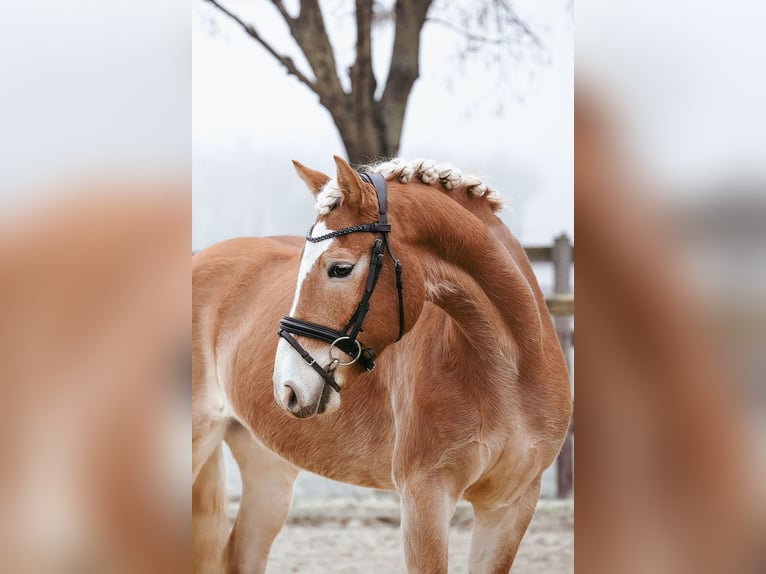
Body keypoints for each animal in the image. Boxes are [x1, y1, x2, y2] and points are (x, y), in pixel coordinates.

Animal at [192, 156, 572, 573]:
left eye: (339, 269)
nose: (287, 387)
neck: (509, 370)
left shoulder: (509, 505)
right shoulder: (425, 497)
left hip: (269, 466)